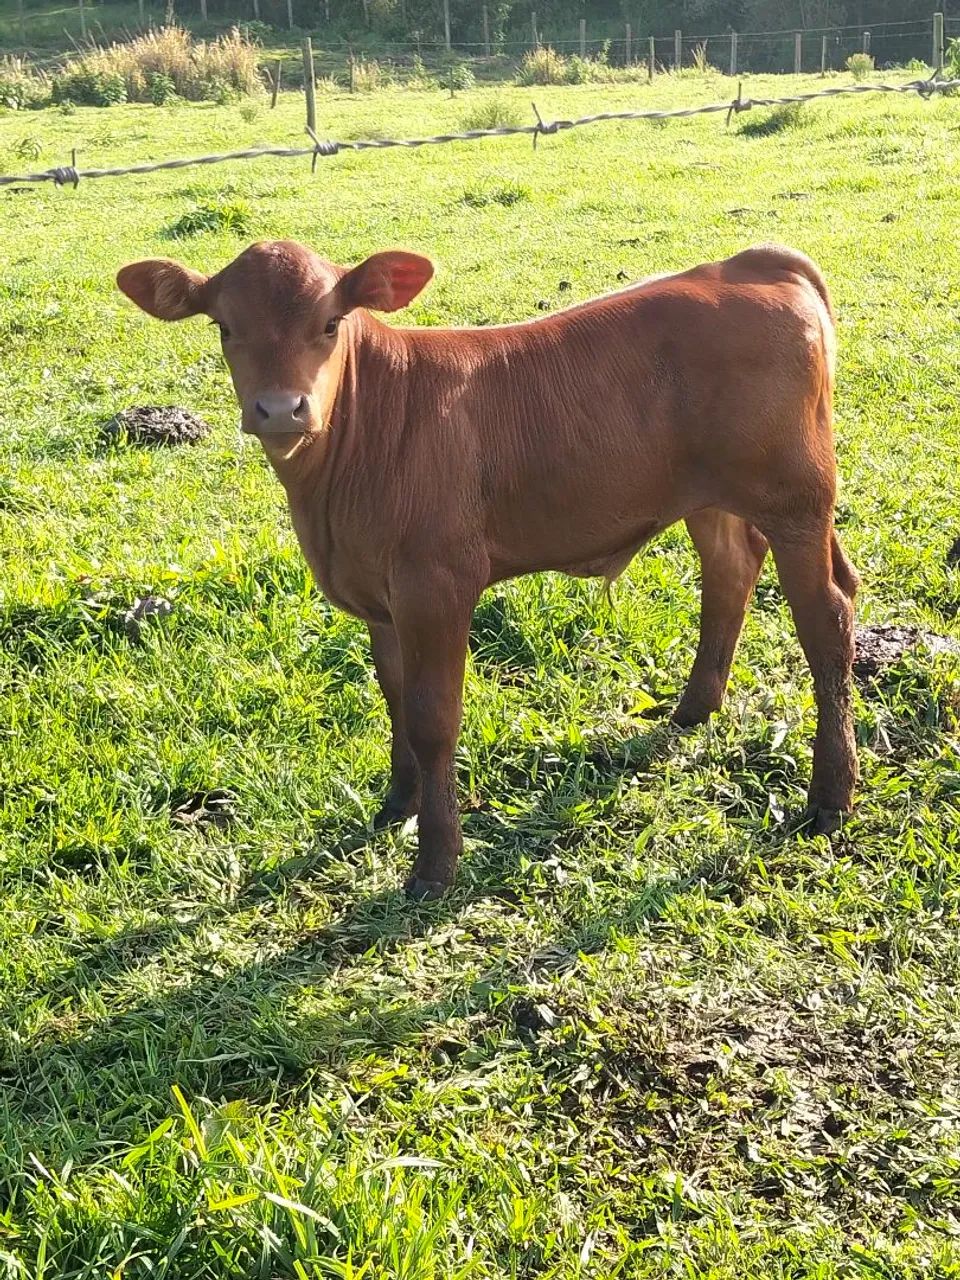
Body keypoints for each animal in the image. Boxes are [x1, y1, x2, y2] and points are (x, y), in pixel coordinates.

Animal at [116, 240, 859, 899]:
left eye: (330, 322)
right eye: (224, 327)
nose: (279, 409)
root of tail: (752, 262)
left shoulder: (435, 585)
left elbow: (432, 715)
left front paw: (435, 863)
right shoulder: (378, 596)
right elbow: (394, 695)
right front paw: (398, 803)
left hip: (796, 500)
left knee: (827, 624)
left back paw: (829, 797)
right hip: (708, 498)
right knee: (730, 573)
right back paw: (691, 711)